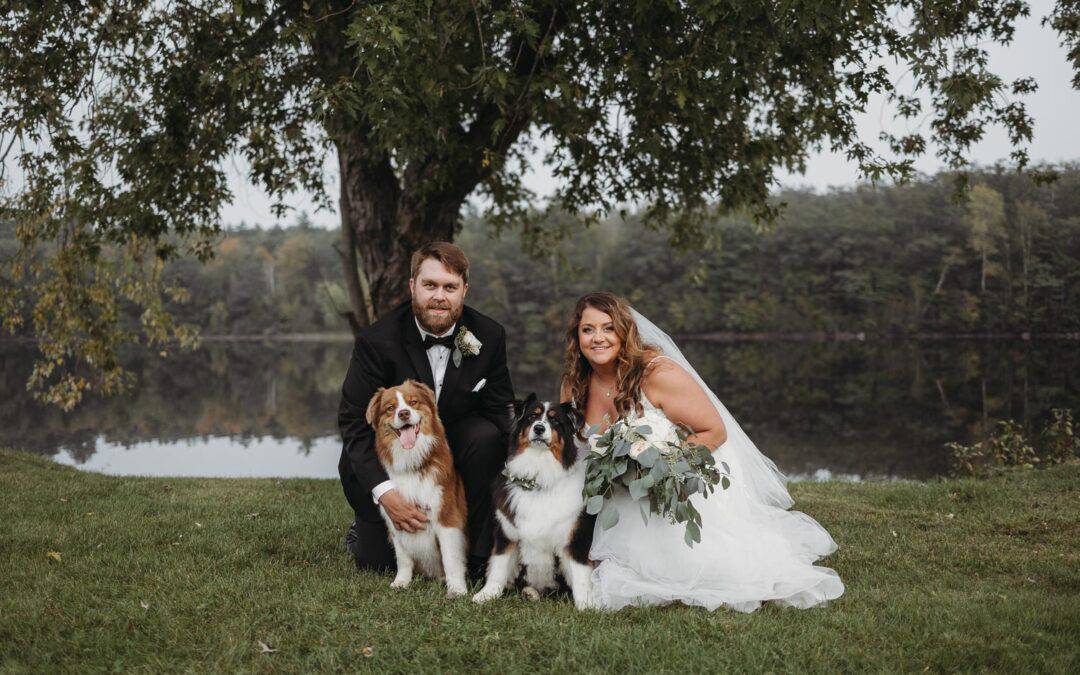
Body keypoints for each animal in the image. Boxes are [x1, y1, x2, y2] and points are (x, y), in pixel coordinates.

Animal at [365, 380, 466, 596]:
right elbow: (403, 557)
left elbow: (451, 557)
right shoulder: (396, 518)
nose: (403, 413)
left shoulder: (447, 517)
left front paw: (457, 589)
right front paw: (402, 581)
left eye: (413, 402)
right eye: (390, 408)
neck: (412, 462)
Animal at [470, 393, 600, 609]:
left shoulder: (575, 538)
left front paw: (586, 606)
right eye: (532, 416)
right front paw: (486, 595)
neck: (538, 478)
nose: (539, 428)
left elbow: (581, 575)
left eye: (555, 420)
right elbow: (498, 566)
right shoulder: (507, 534)